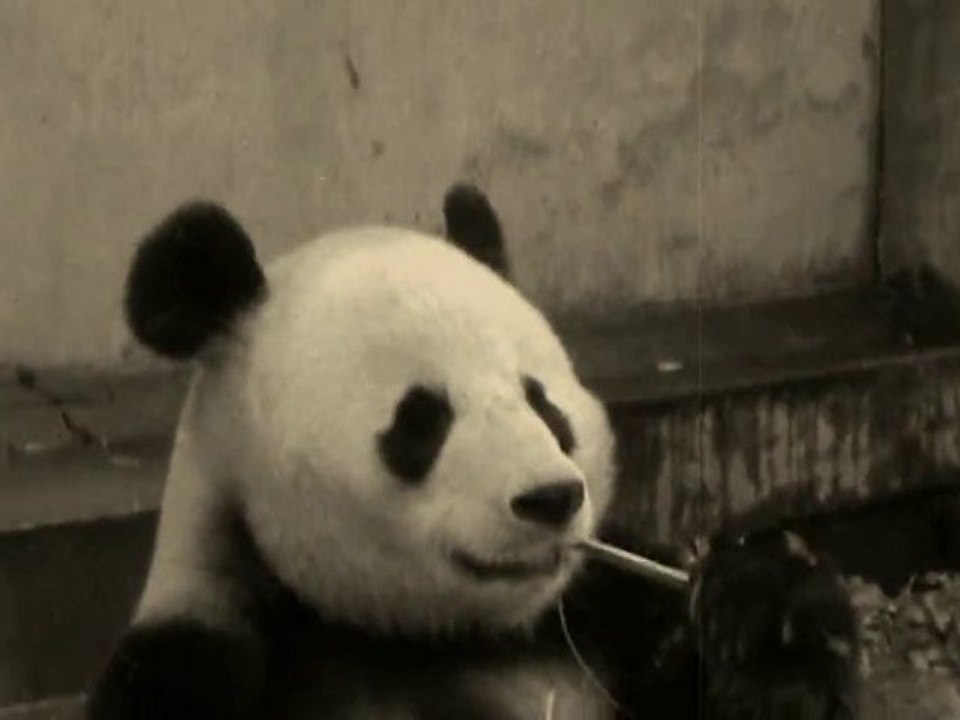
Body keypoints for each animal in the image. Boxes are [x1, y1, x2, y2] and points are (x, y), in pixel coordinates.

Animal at [87, 184, 859, 720]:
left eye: (542, 403)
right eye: (422, 422)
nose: (552, 498)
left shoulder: (598, 621)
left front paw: (767, 611)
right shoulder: (200, 659)